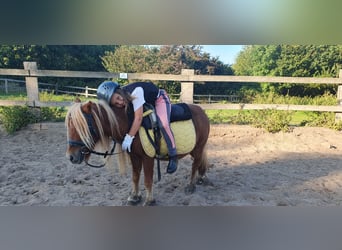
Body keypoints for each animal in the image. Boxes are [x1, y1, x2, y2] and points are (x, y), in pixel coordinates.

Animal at [65, 99, 210, 205]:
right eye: (69, 125)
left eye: (83, 126)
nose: (71, 157)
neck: (130, 124)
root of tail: (202, 112)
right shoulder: (134, 156)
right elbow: (135, 177)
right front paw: (135, 197)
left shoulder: (148, 157)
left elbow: (147, 180)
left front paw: (149, 200)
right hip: (194, 149)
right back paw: (201, 177)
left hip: (198, 147)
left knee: (195, 164)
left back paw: (191, 185)